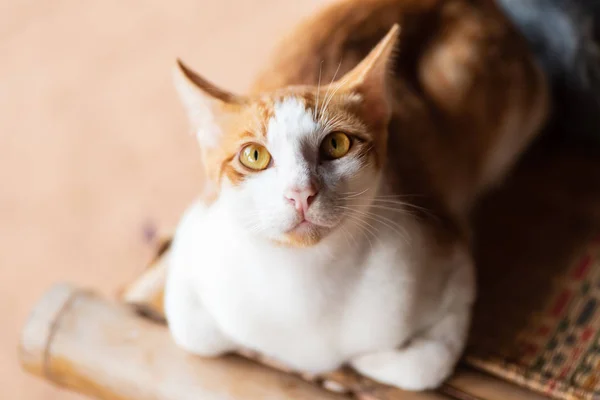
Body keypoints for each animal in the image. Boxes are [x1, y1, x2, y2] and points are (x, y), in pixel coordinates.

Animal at [164, 0, 548, 390]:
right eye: (254, 156)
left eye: (336, 144)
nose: (301, 193)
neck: (305, 286)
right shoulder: (191, 243)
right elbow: (191, 331)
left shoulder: (453, 262)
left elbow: (424, 365)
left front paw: (356, 365)